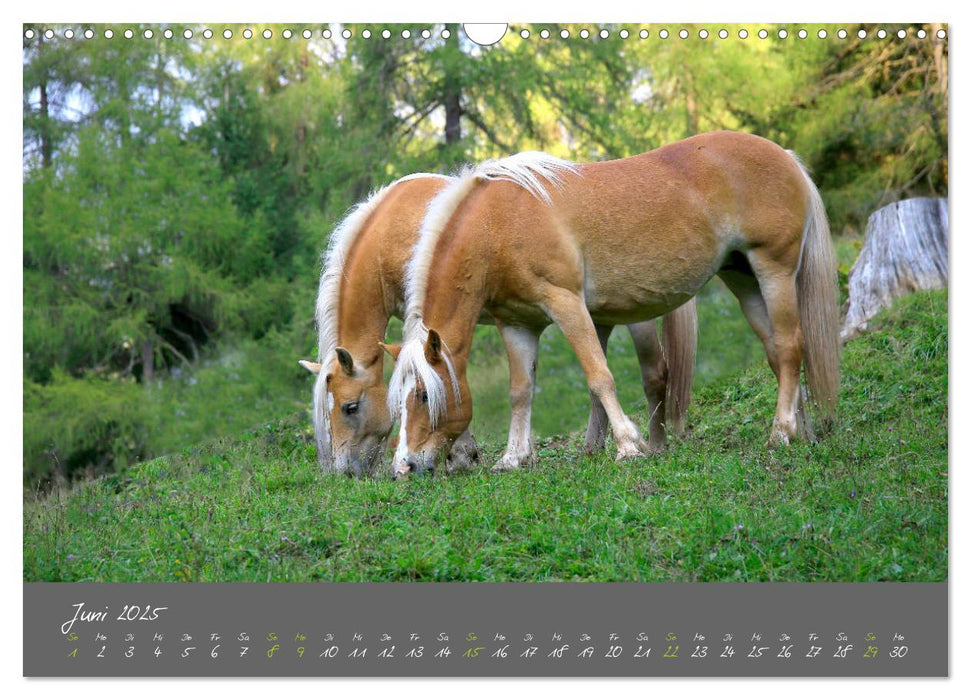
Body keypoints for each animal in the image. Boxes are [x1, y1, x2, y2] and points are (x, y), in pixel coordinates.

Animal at [298, 174, 700, 476]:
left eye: (350, 407)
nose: (344, 472)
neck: (392, 231)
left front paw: (462, 455)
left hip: (632, 317)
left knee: (654, 373)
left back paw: (651, 443)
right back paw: (595, 448)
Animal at [392, 131, 840, 478]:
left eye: (425, 396)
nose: (406, 466)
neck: (498, 223)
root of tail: (785, 156)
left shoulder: (567, 305)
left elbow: (599, 376)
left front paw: (628, 445)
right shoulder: (517, 324)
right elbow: (521, 391)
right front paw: (513, 457)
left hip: (773, 271)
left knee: (789, 346)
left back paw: (781, 432)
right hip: (743, 279)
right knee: (777, 352)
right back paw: (801, 430)